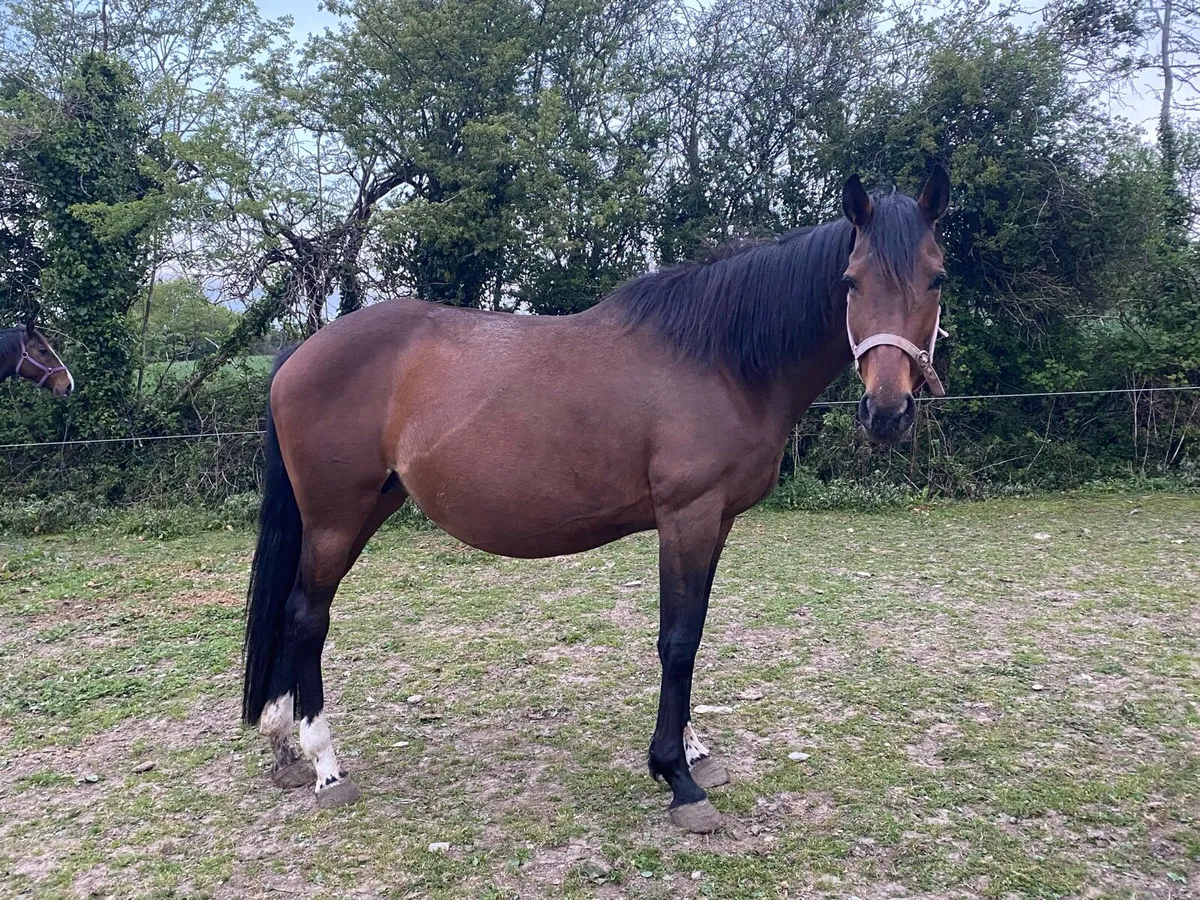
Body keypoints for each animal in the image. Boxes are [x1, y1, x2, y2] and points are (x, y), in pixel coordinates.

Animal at [242, 169, 951, 832]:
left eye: (937, 278)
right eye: (851, 281)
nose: (887, 410)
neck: (721, 360)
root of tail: (299, 352)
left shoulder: (715, 521)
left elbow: (692, 631)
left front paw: (694, 754)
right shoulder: (687, 516)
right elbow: (678, 639)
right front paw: (677, 778)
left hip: (364, 510)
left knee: (293, 609)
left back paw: (284, 746)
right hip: (336, 518)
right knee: (307, 616)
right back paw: (325, 764)